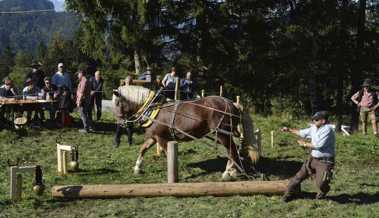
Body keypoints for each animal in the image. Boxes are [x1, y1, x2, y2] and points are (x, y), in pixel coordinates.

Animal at [113, 86, 260, 180]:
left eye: (117, 103)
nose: (120, 123)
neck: (153, 108)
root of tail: (232, 103)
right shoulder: (154, 137)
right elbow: (143, 149)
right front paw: (137, 168)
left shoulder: (162, 138)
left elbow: (168, 153)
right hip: (223, 134)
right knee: (232, 150)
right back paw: (231, 170)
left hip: (222, 133)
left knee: (232, 150)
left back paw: (229, 172)